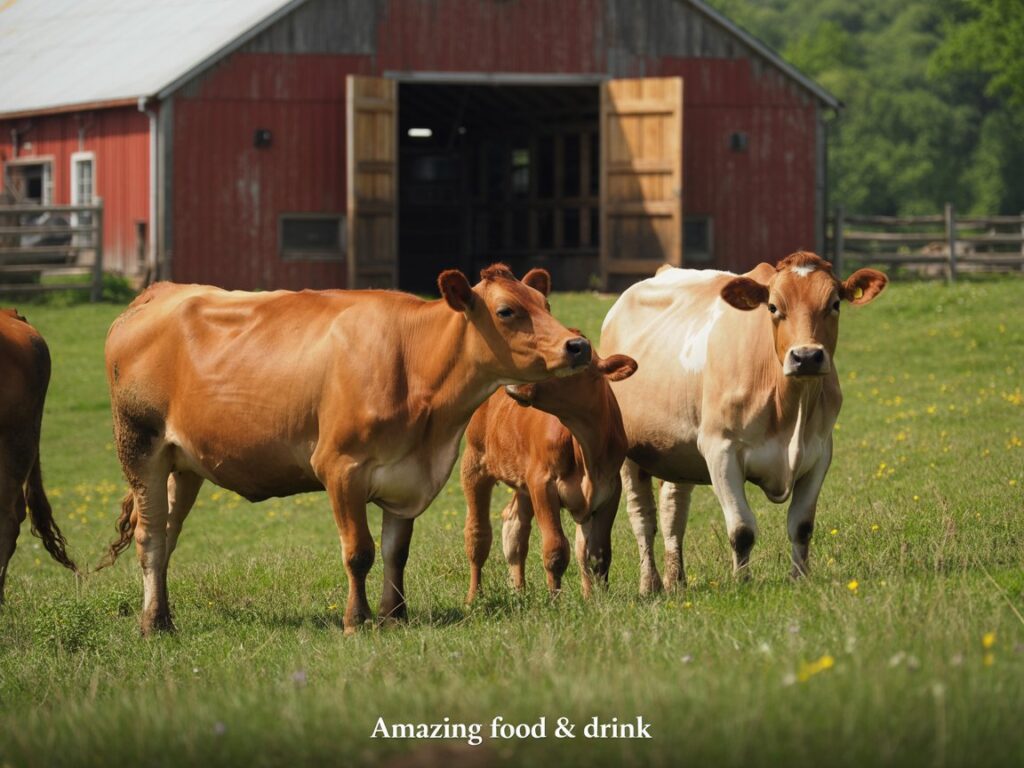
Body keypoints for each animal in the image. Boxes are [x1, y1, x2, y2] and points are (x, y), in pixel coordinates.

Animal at [97, 265, 591, 634]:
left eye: (545, 304)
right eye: (507, 311)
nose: (578, 345)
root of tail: (159, 291)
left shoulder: (407, 477)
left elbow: (395, 552)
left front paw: (395, 616)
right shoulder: (341, 467)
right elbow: (359, 552)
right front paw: (357, 620)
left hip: (183, 464)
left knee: (167, 533)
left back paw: (163, 615)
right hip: (139, 446)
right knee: (150, 536)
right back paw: (153, 624)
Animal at [461, 349, 637, 602]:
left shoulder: (610, 491)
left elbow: (595, 553)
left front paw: (595, 599)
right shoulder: (542, 484)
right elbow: (556, 549)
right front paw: (555, 600)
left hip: (522, 479)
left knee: (515, 527)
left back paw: (519, 591)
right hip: (474, 463)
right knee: (478, 536)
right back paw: (474, 598)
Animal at [600, 252, 886, 591]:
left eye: (835, 303)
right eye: (773, 307)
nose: (806, 357)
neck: (790, 407)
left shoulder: (820, 452)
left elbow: (802, 525)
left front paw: (800, 578)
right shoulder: (720, 451)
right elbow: (742, 529)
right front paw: (742, 583)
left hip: (676, 450)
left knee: (673, 511)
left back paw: (677, 580)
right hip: (628, 452)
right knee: (642, 517)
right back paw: (650, 584)